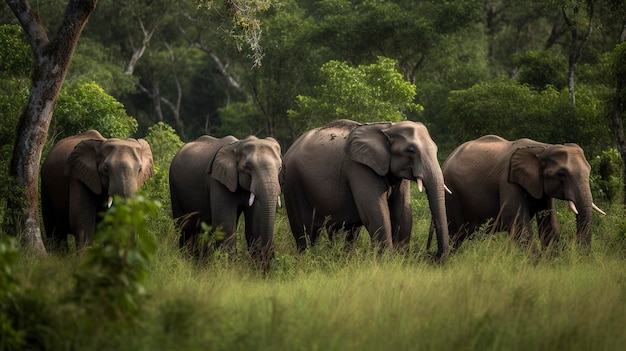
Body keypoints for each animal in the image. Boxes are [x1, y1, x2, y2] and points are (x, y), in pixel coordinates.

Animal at [168, 134, 280, 270]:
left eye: (280, 168)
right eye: (248, 167)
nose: (271, 256)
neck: (238, 146)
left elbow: (254, 226)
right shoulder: (217, 182)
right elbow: (225, 226)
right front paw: (229, 272)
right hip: (174, 187)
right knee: (185, 228)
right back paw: (188, 262)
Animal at [282, 118, 448, 258]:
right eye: (411, 150)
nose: (433, 254)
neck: (387, 128)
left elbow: (403, 213)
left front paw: (401, 260)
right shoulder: (359, 168)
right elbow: (376, 215)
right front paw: (387, 262)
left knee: (345, 231)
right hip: (293, 182)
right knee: (304, 231)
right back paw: (306, 259)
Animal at [436, 135, 604, 250]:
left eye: (589, 170)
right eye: (561, 174)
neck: (542, 148)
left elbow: (550, 224)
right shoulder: (507, 181)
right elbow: (515, 221)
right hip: (451, 193)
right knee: (456, 234)